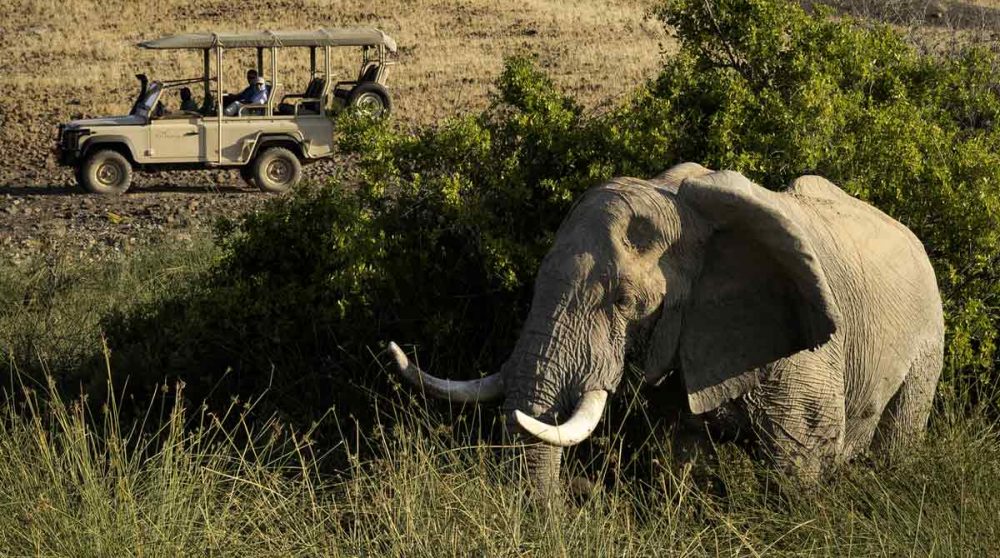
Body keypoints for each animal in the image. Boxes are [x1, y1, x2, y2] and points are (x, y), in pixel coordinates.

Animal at [388, 162, 944, 493]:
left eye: (623, 301)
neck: (683, 206)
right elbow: (680, 458)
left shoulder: (804, 354)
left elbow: (800, 460)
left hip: (929, 337)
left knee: (899, 436)